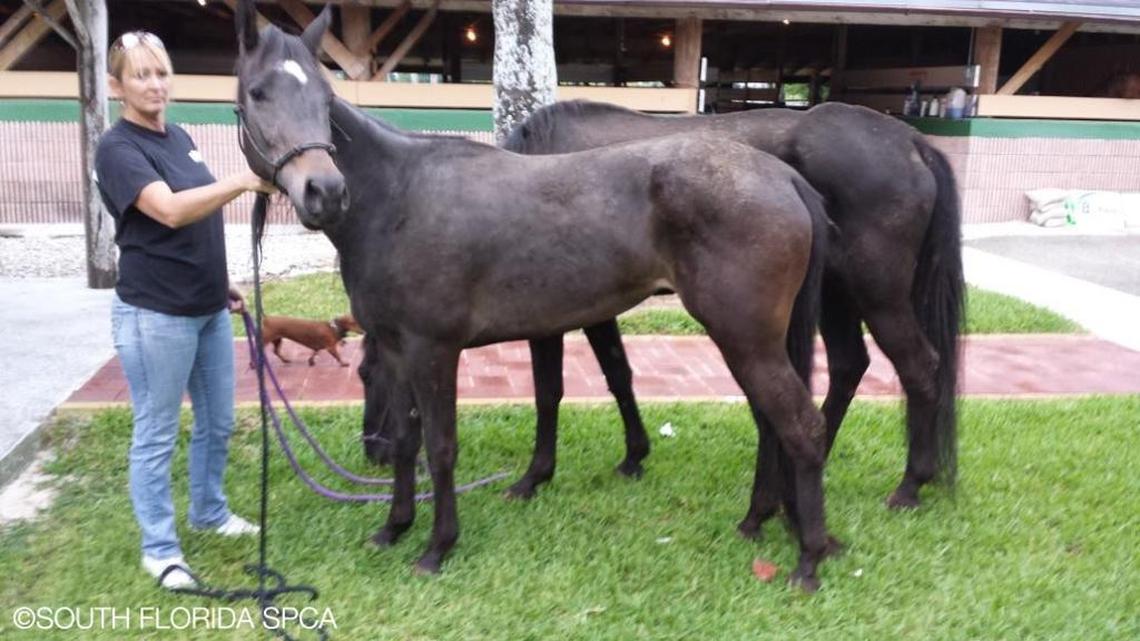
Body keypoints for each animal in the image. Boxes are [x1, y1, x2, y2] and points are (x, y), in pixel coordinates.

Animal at [234, 1, 835, 589]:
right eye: (256, 92)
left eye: (324, 97)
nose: (324, 191)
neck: (399, 196)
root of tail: (783, 177)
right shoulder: (402, 351)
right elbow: (412, 439)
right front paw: (394, 527)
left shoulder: (434, 352)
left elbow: (442, 446)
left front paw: (437, 546)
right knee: (770, 422)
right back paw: (757, 520)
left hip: (744, 338)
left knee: (800, 426)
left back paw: (808, 559)